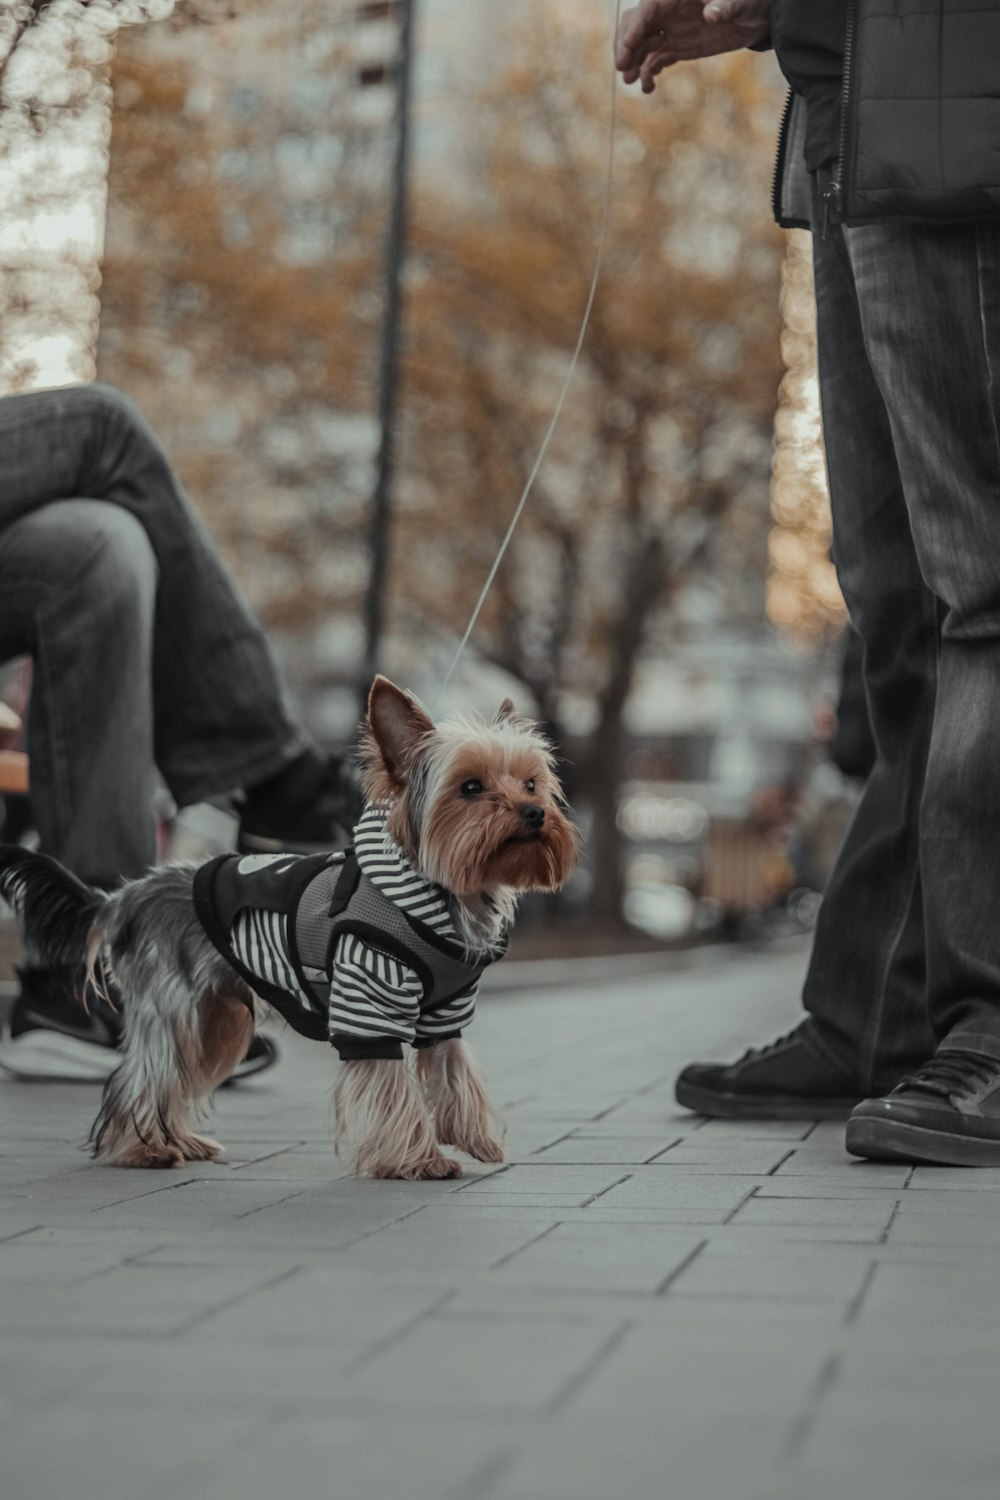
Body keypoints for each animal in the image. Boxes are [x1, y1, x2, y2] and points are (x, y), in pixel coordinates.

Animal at [0, 681, 578, 1182]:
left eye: (531, 783)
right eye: (471, 787)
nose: (535, 812)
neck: (442, 895)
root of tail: (125, 897)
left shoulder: (444, 1013)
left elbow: (455, 1070)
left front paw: (476, 1138)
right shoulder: (369, 999)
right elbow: (392, 1087)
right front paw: (415, 1160)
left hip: (216, 1014)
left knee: (180, 1075)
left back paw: (179, 1140)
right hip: (173, 1005)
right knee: (146, 1074)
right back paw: (142, 1149)